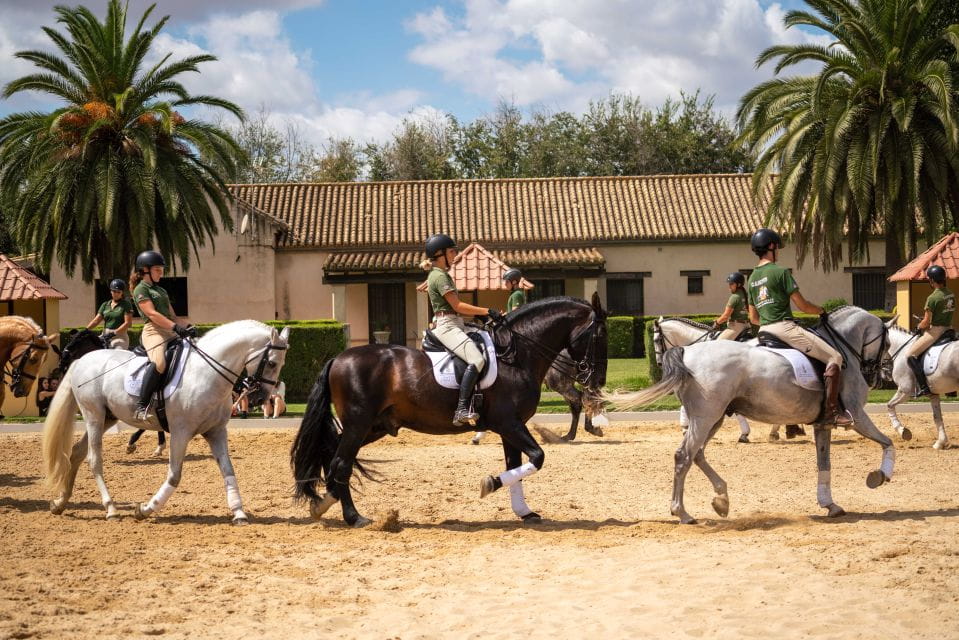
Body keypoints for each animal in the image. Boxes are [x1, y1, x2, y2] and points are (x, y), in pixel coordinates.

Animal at [42, 320, 290, 523]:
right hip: (93, 415)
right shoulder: (181, 432)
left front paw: (238, 512)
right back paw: (110, 508)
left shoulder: (216, 432)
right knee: (94, 460)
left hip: (107, 418)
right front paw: (146, 509)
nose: (260, 399)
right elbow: (174, 475)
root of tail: (81, 361)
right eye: (270, 363)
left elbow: (228, 470)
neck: (206, 373)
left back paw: (60, 503)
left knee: (76, 452)